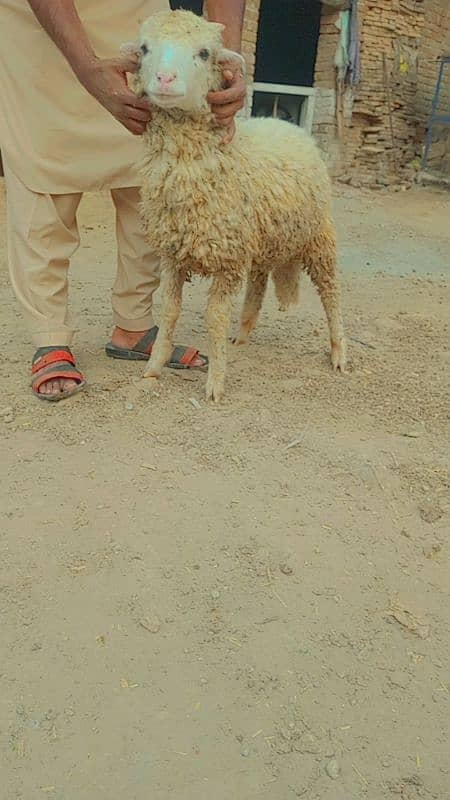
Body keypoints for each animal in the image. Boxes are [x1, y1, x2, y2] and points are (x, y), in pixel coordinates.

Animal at [132, 10, 346, 404]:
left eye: (204, 53)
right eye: (144, 48)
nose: (165, 79)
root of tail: (284, 122)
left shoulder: (227, 261)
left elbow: (215, 318)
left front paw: (215, 383)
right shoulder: (173, 256)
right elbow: (169, 312)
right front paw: (153, 368)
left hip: (319, 236)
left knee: (331, 294)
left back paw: (339, 351)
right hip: (263, 241)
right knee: (259, 286)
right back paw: (244, 334)